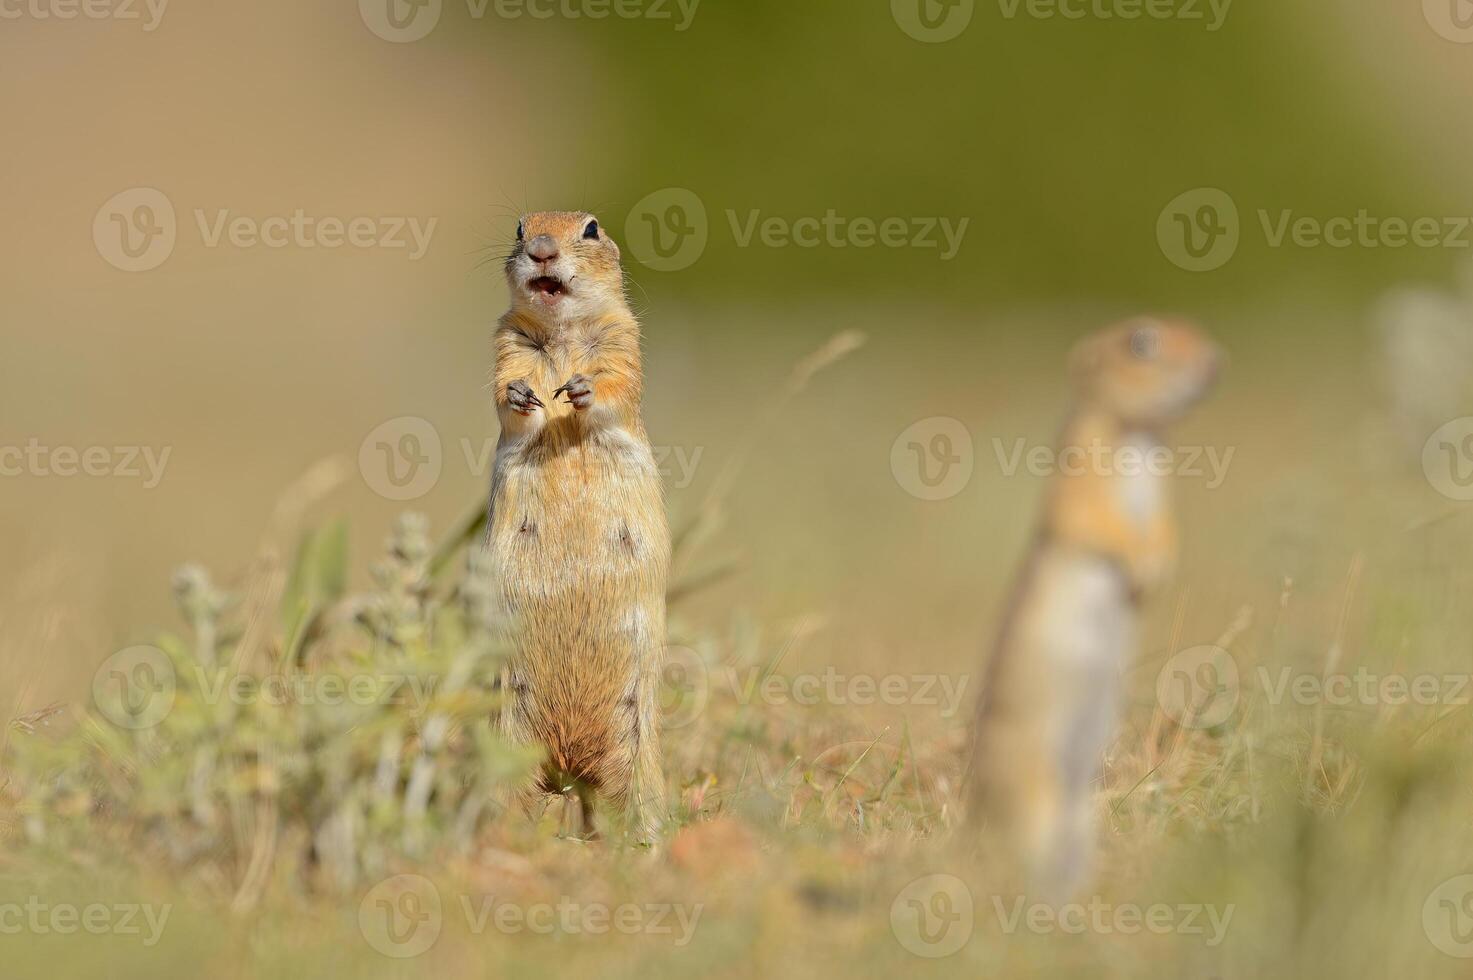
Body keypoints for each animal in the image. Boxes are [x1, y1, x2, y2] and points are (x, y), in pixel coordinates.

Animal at [483, 210, 668, 837]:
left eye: (590, 229)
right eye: (520, 228)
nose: (540, 249)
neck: (562, 333)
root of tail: (570, 765)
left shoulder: (624, 338)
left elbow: (615, 381)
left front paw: (580, 390)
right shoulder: (505, 341)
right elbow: (502, 387)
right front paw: (523, 394)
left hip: (639, 751)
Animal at [966, 319, 1219, 896]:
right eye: (1142, 341)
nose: (1217, 360)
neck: (1141, 439)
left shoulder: (1164, 487)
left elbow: (1167, 525)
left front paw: (1157, 566)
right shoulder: (1081, 466)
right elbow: (1088, 517)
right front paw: (1141, 563)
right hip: (1030, 786)